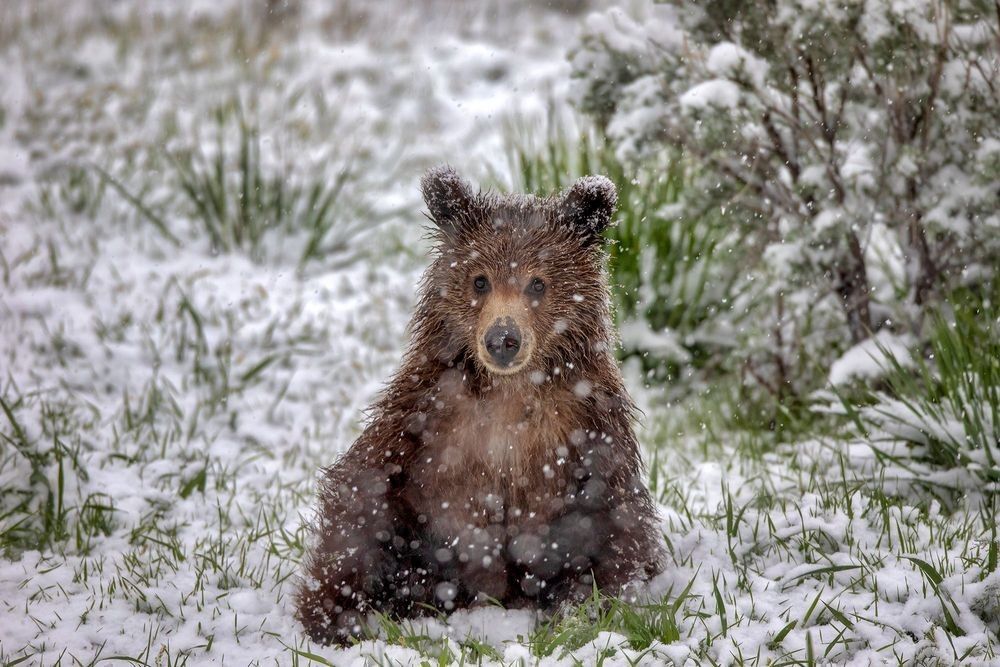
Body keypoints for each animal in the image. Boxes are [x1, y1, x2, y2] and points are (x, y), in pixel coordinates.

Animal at [296, 166, 664, 645]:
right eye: (479, 279)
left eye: (538, 282)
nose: (503, 338)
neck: (510, 391)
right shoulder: (425, 410)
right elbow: (365, 493)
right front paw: (331, 614)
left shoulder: (588, 424)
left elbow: (616, 518)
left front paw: (586, 609)